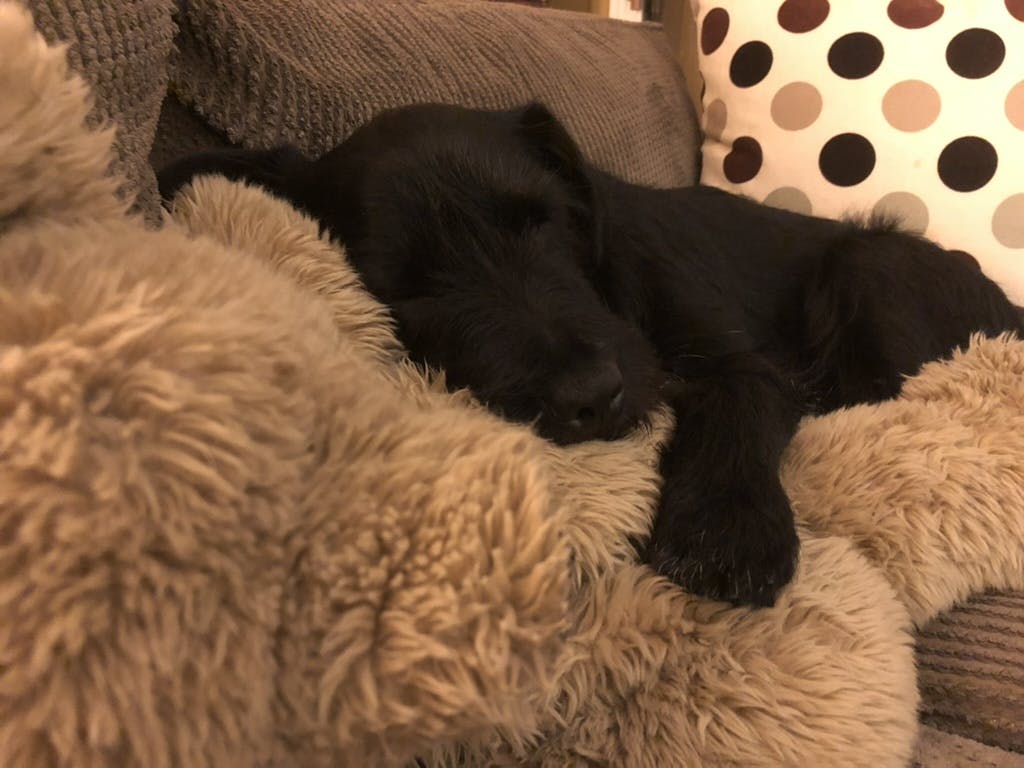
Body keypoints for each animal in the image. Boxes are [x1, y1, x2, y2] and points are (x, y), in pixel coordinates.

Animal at [159, 102, 1024, 606]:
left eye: (543, 219)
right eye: (401, 283)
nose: (593, 394)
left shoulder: (739, 364)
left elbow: (736, 412)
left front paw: (727, 530)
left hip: (870, 262)